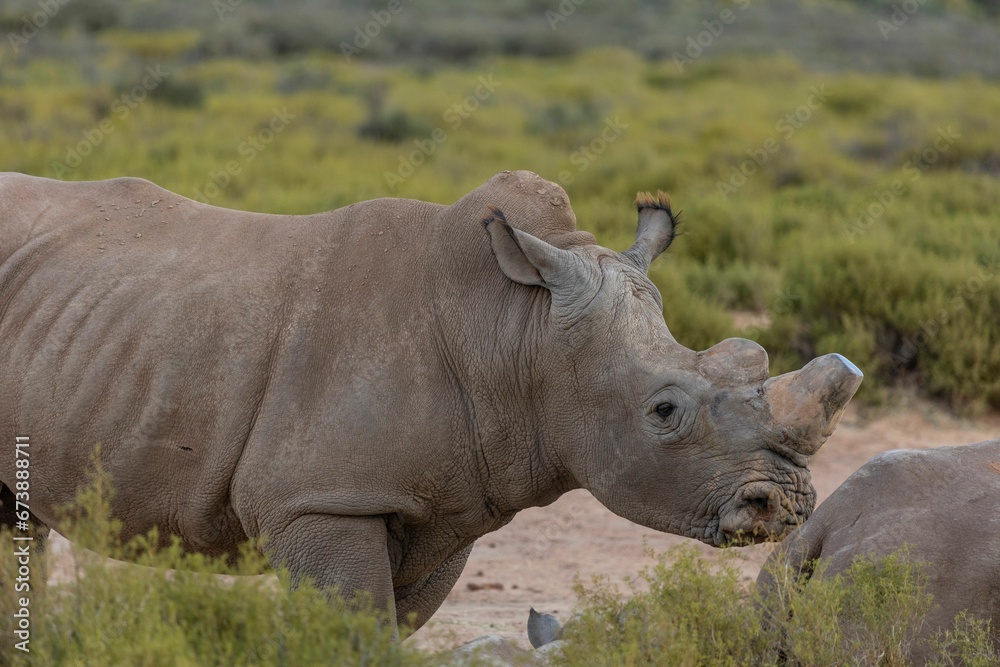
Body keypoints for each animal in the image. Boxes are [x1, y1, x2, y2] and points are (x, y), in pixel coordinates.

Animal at [0, 169, 862, 632]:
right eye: (664, 412)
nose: (787, 504)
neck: (515, 328)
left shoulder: (446, 511)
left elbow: (391, 629)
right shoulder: (321, 499)